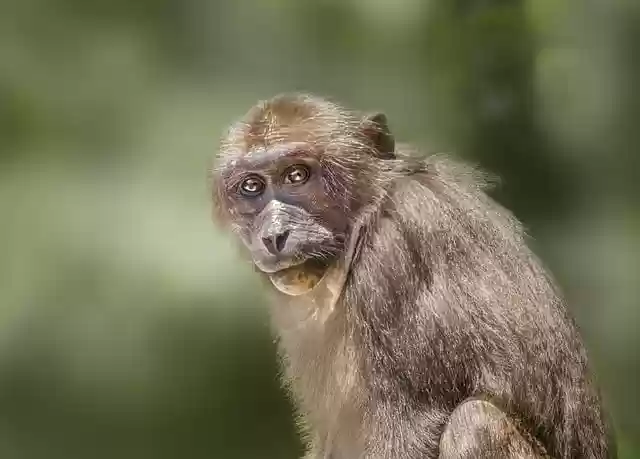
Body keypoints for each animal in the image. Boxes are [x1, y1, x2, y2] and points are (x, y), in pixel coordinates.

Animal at [210, 93, 615, 459]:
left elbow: (408, 429)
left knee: (475, 423)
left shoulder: (394, 254)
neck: (365, 218)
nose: (274, 234)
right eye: (251, 187)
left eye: (297, 175)